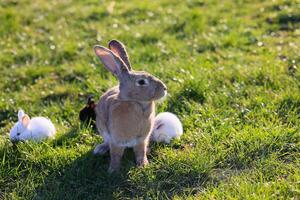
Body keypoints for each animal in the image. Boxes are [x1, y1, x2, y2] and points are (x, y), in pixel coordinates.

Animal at [93, 40, 166, 172]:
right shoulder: (116, 141)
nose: (164, 89)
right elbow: (115, 155)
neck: (136, 102)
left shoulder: (141, 140)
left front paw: (143, 165)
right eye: (141, 82)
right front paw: (113, 170)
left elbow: (140, 152)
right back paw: (100, 149)